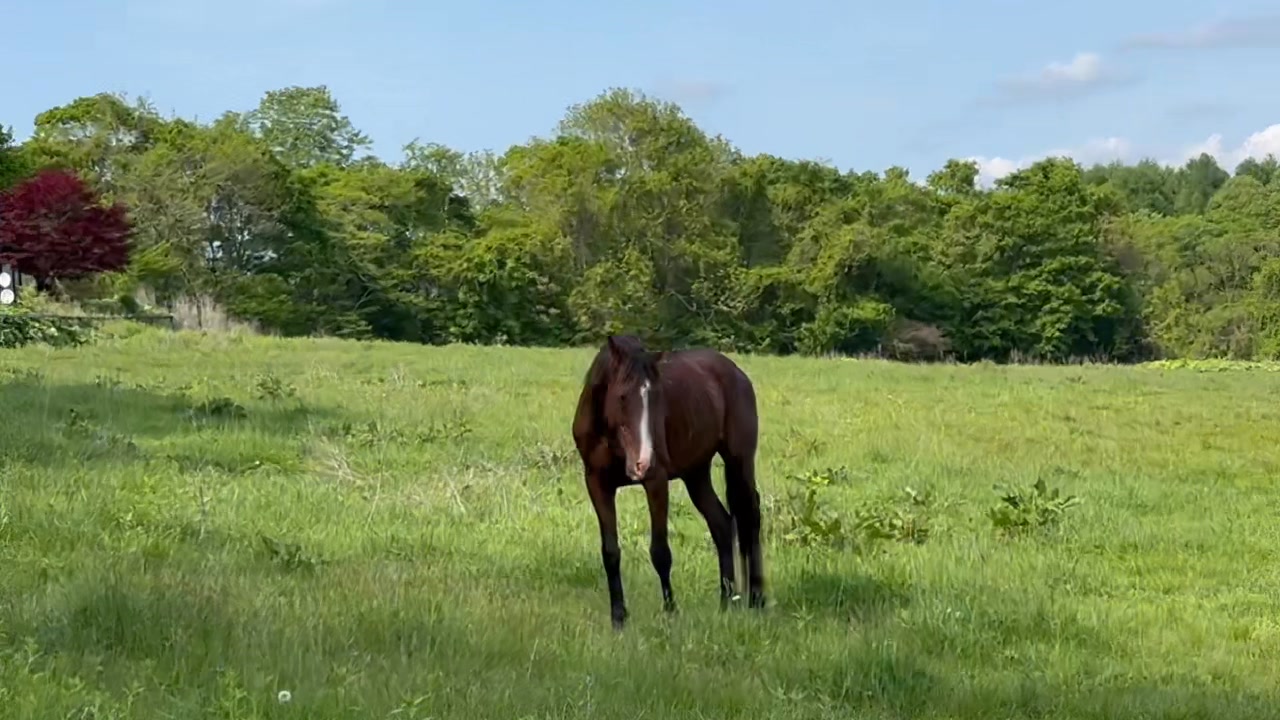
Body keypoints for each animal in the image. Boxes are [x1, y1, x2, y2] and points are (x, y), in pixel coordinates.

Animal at [570, 334, 766, 630]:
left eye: (656, 397)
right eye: (622, 395)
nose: (643, 461)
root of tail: (736, 373)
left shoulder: (656, 482)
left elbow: (660, 552)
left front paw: (671, 611)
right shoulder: (597, 484)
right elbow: (610, 552)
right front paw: (619, 618)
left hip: (739, 461)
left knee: (750, 518)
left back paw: (756, 600)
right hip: (696, 473)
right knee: (721, 524)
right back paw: (726, 601)